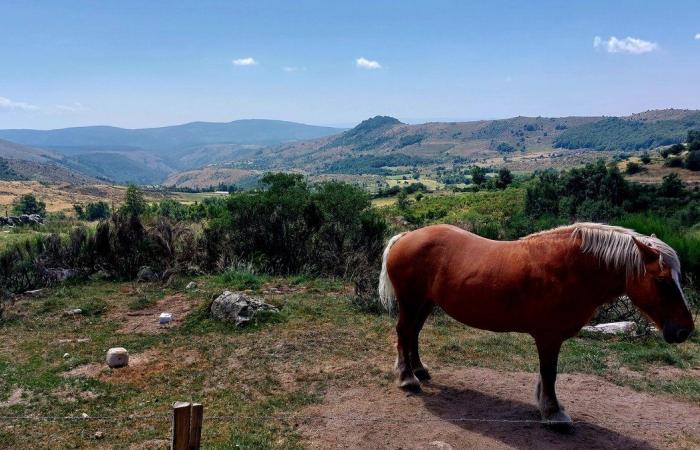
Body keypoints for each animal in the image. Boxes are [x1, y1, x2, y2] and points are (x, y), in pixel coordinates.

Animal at [380, 223, 696, 428]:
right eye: (662, 282)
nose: (684, 330)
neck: (569, 269)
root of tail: (407, 236)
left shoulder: (549, 338)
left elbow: (546, 375)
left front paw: (547, 404)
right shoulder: (548, 337)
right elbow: (550, 373)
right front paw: (553, 412)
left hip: (425, 302)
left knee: (413, 333)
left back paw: (419, 370)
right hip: (411, 302)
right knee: (403, 333)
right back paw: (407, 378)